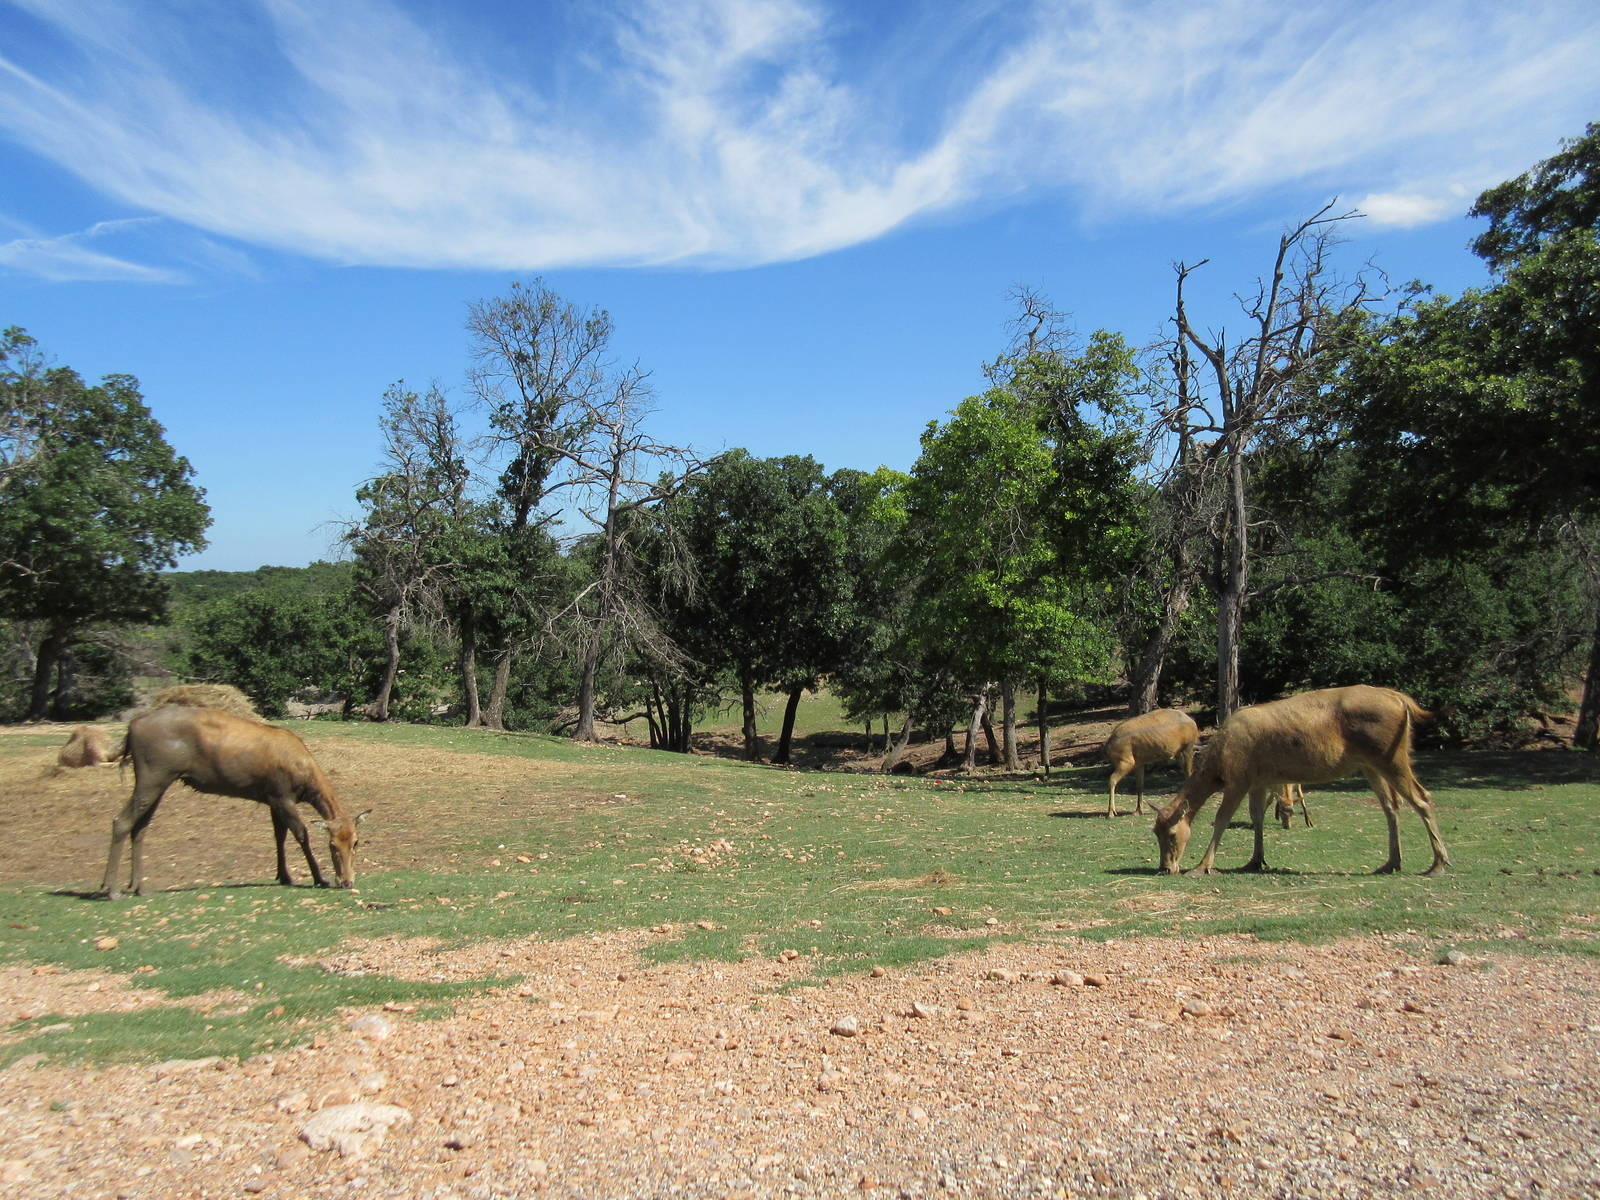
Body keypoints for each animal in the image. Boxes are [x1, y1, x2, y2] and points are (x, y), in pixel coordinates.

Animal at [100, 704, 366, 899]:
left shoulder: (271, 798)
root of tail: (131, 728)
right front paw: (320, 878)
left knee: (140, 827)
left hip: (159, 779)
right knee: (121, 820)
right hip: (153, 774)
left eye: (356, 842)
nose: (346, 881)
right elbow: (301, 834)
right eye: (332, 845)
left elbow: (278, 836)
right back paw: (111, 889)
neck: (306, 779)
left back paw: (138, 887)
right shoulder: (282, 795)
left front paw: (284, 876)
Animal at [1153, 685, 1448, 876]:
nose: (1166, 868)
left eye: (1171, 834)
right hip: (1371, 765)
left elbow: (1222, 819)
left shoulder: (1238, 780)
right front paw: (1255, 860)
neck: (1217, 768)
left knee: (1422, 798)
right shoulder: (1259, 781)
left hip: (1391, 757)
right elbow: (1257, 817)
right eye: (1154, 832)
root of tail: (1402, 700)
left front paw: (1201, 866)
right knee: (1391, 806)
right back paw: (1390, 863)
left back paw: (1437, 864)